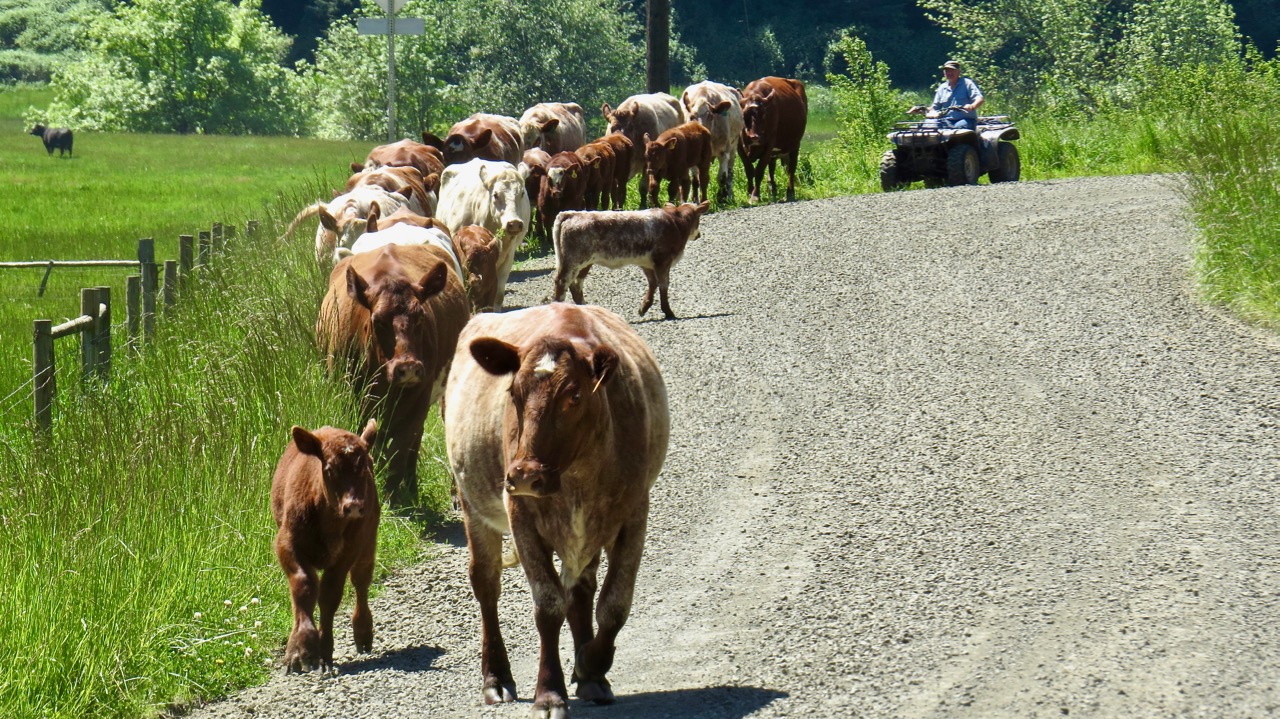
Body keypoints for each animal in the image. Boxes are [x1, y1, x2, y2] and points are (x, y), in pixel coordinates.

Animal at [271, 419, 379, 673]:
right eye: (329, 469)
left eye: (363, 468)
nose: (354, 506)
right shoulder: (287, 544)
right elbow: (304, 587)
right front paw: (302, 650)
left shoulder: (349, 551)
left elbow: (330, 595)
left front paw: (324, 649)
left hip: (368, 543)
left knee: (361, 581)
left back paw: (363, 633)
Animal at [317, 244, 470, 507]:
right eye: (377, 320)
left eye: (421, 316)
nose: (407, 366)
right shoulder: (350, 396)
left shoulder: (418, 396)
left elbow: (399, 450)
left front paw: (393, 500)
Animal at [444, 302, 669, 717]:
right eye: (513, 393)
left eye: (574, 396)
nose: (524, 475)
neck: (577, 473)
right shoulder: (522, 518)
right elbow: (548, 606)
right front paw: (550, 692)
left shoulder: (633, 514)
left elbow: (615, 603)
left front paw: (591, 664)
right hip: (473, 505)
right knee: (486, 582)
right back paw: (496, 677)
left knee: (581, 590)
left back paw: (588, 674)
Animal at [552, 201, 709, 319]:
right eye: (698, 219)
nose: (699, 235)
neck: (675, 223)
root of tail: (571, 213)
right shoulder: (663, 261)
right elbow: (663, 285)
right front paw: (668, 312)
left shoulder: (647, 263)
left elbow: (653, 283)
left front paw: (644, 307)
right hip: (573, 261)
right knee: (562, 283)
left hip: (583, 263)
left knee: (576, 285)